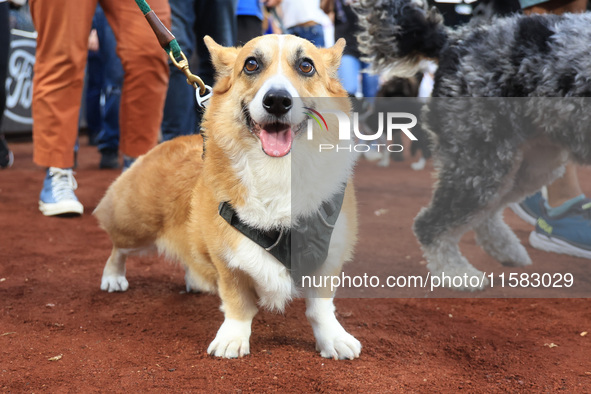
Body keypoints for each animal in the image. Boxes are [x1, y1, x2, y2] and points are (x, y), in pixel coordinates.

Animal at [93, 34, 360, 360]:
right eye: (251, 64)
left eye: (306, 66)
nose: (277, 100)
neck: (277, 171)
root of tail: (165, 143)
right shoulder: (229, 260)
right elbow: (237, 305)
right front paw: (232, 340)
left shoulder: (328, 258)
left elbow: (321, 309)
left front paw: (334, 339)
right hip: (136, 226)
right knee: (117, 248)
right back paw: (113, 277)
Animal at [356, 0, 591, 290]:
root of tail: (454, 40)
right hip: (479, 156)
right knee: (431, 224)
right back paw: (456, 273)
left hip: (529, 162)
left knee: (488, 213)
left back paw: (507, 251)